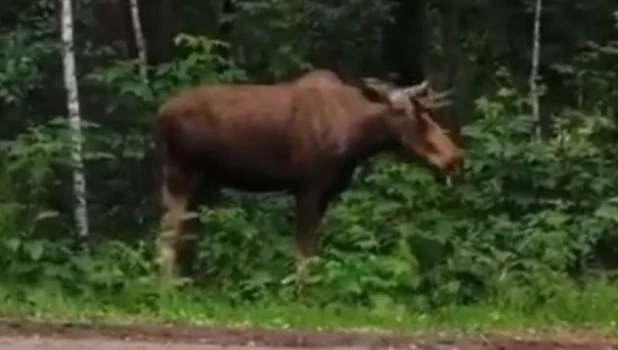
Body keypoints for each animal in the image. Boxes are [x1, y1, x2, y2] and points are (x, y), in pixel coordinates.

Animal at [153, 69, 462, 280]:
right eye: (418, 118)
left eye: (429, 114)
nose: (454, 157)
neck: (356, 139)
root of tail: (159, 115)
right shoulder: (308, 187)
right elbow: (303, 252)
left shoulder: (325, 193)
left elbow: (311, 253)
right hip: (179, 172)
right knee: (167, 233)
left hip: (204, 183)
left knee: (185, 233)